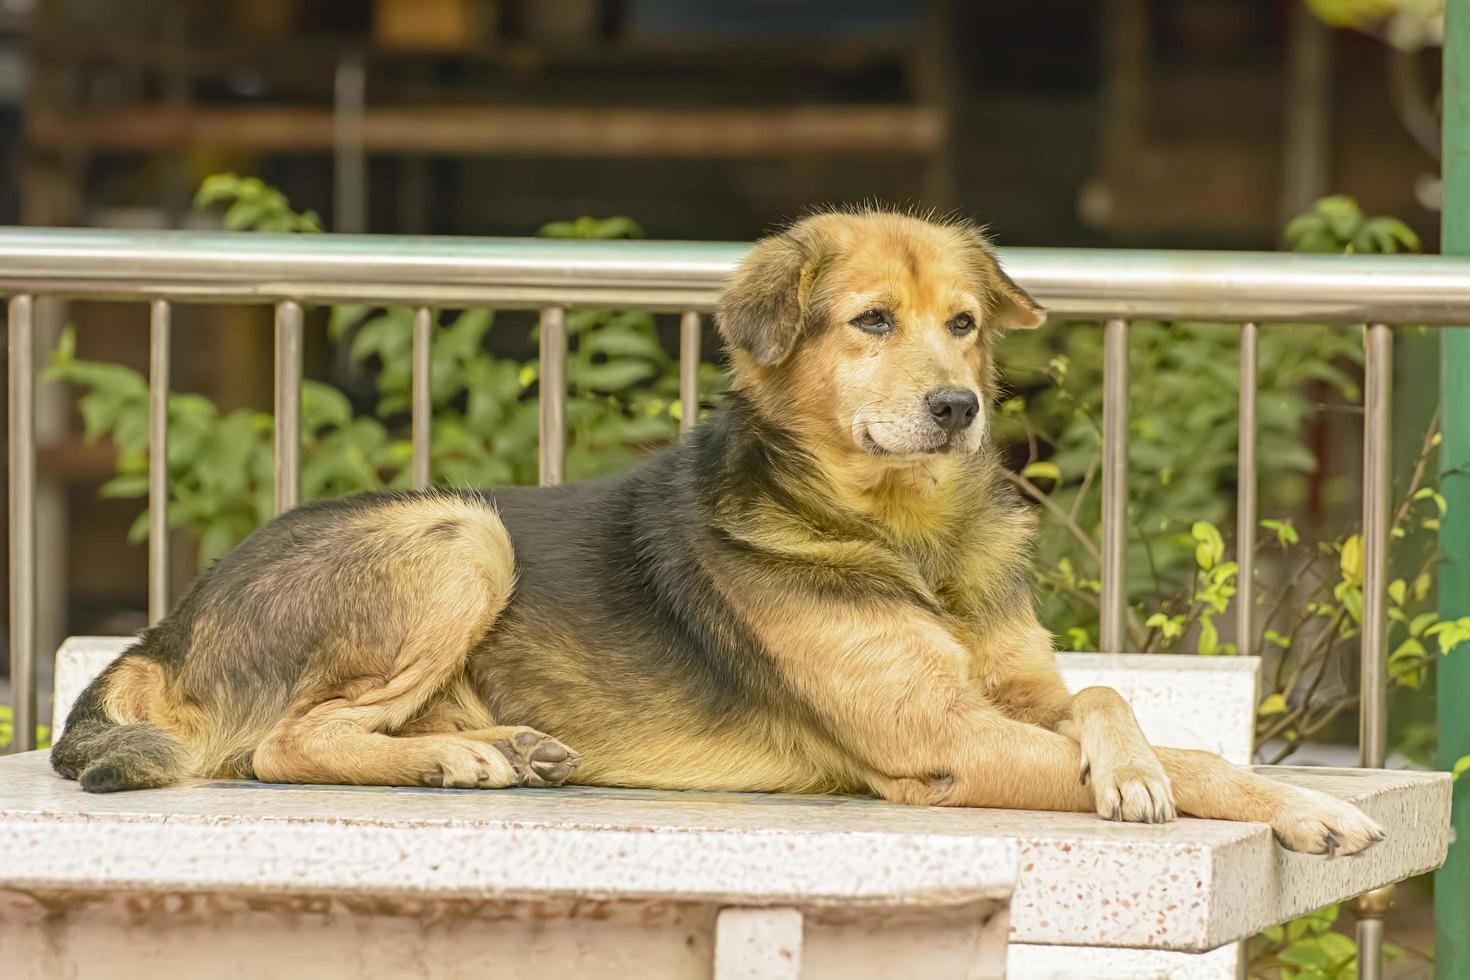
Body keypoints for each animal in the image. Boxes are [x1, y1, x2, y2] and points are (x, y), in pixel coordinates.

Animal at [54, 208, 1387, 858]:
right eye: (870, 320)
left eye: (963, 322)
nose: (958, 409)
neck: (903, 534)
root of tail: (165, 627)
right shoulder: (944, 747)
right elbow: (1195, 754)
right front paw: (1231, 791)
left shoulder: (1015, 694)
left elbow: (1115, 697)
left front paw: (1181, 774)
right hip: (462, 531)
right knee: (288, 741)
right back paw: (458, 760)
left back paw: (497, 745)